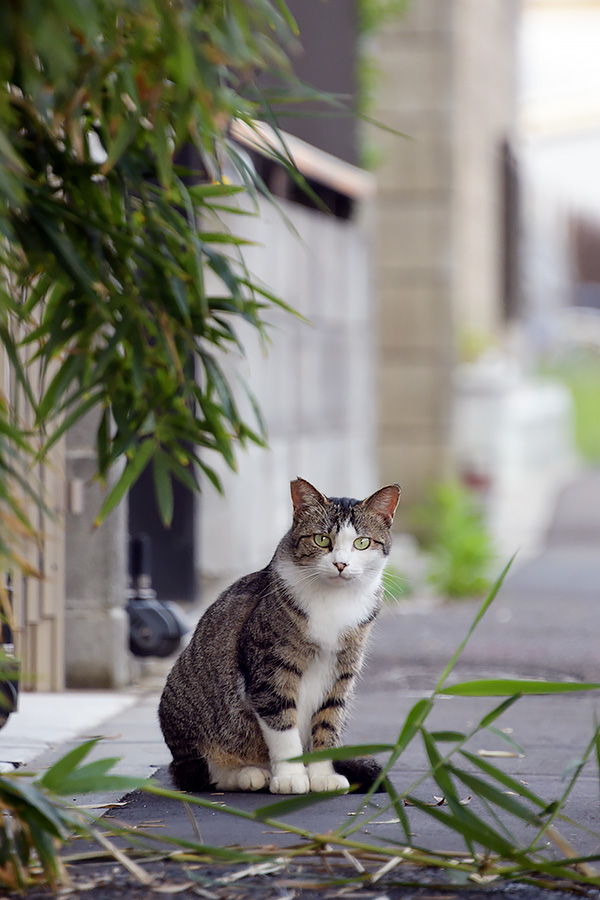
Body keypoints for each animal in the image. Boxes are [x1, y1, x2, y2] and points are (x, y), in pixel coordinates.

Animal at [161, 478, 398, 796]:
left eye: (362, 542)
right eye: (321, 539)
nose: (341, 565)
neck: (334, 601)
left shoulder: (341, 673)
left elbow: (327, 725)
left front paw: (322, 776)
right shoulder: (270, 669)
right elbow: (282, 727)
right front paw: (290, 777)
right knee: (200, 773)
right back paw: (249, 774)